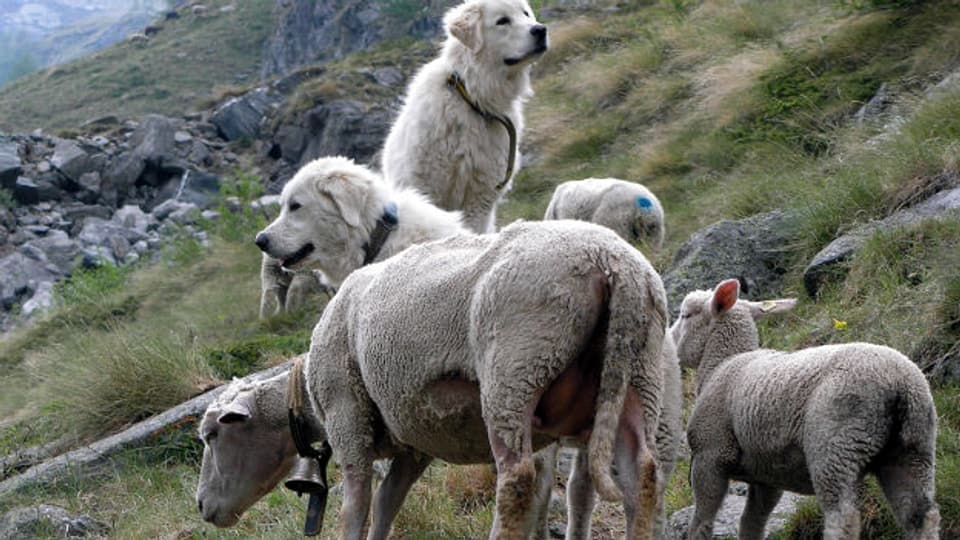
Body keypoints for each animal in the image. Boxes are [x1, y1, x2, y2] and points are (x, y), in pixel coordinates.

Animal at [380, 0, 548, 232]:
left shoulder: (479, 199)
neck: (471, 99)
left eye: (526, 14)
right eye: (502, 21)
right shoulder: (427, 188)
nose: (541, 30)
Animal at [672, 278, 940, 540]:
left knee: (843, 518)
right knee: (921, 516)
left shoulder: (710, 454)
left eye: (685, 315)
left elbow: (702, 522)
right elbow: (751, 524)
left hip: (836, 447)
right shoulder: (767, 475)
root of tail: (899, 382)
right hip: (914, 449)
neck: (722, 363)